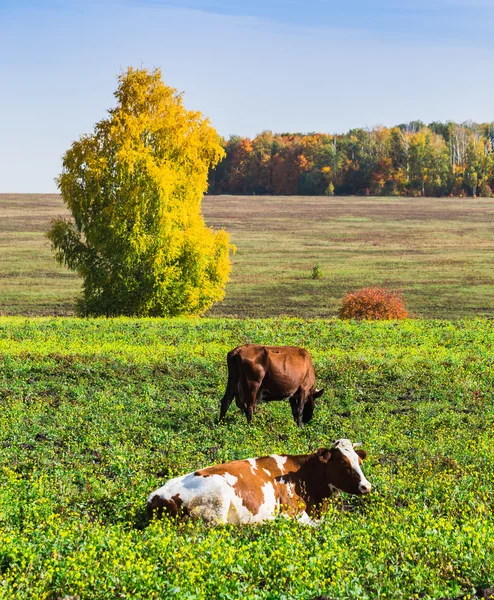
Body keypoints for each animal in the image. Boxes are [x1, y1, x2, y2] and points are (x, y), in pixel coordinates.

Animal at [147, 436, 370, 524]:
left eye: (359, 461)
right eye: (343, 463)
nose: (366, 486)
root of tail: (157, 496)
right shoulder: (291, 513)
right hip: (218, 502)